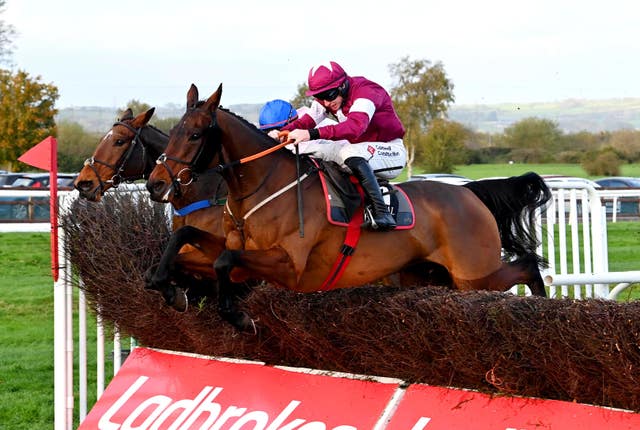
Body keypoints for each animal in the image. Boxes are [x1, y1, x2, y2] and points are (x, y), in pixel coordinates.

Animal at [74, 107, 229, 310]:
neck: (204, 193)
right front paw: (176, 293)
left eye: (119, 141)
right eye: (101, 140)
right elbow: (154, 273)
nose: (83, 183)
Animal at [148, 85, 552, 332]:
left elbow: (223, 262)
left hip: (474, 275)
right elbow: (188, 241)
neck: (264, 185)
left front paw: (236, 316)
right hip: (429, 276)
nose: (155, 184)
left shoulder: (289, 266)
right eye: (172, 132)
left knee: (528, 266)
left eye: (195, 135)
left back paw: (541, 309)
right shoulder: (242, 252)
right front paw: (168, 288)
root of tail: (468, 192)